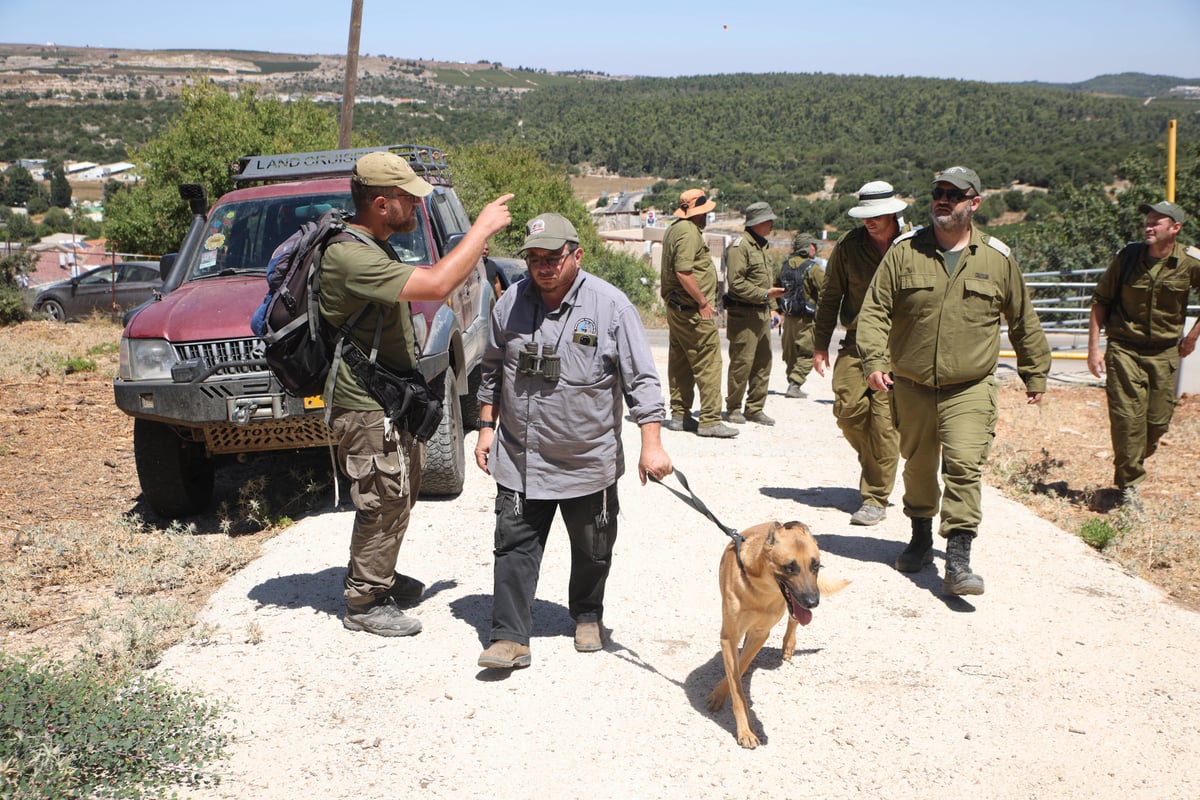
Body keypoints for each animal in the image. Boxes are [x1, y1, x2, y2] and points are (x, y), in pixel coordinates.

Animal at [705, 522, 849, 748]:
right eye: (789, 567)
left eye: (816, 566)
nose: (813, 602)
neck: (759, 589)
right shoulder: (729, 637)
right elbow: (737, 685)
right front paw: (743, 726)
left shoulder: (760, 634)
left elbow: (741, 666)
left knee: (794, 619)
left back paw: (789, 644)